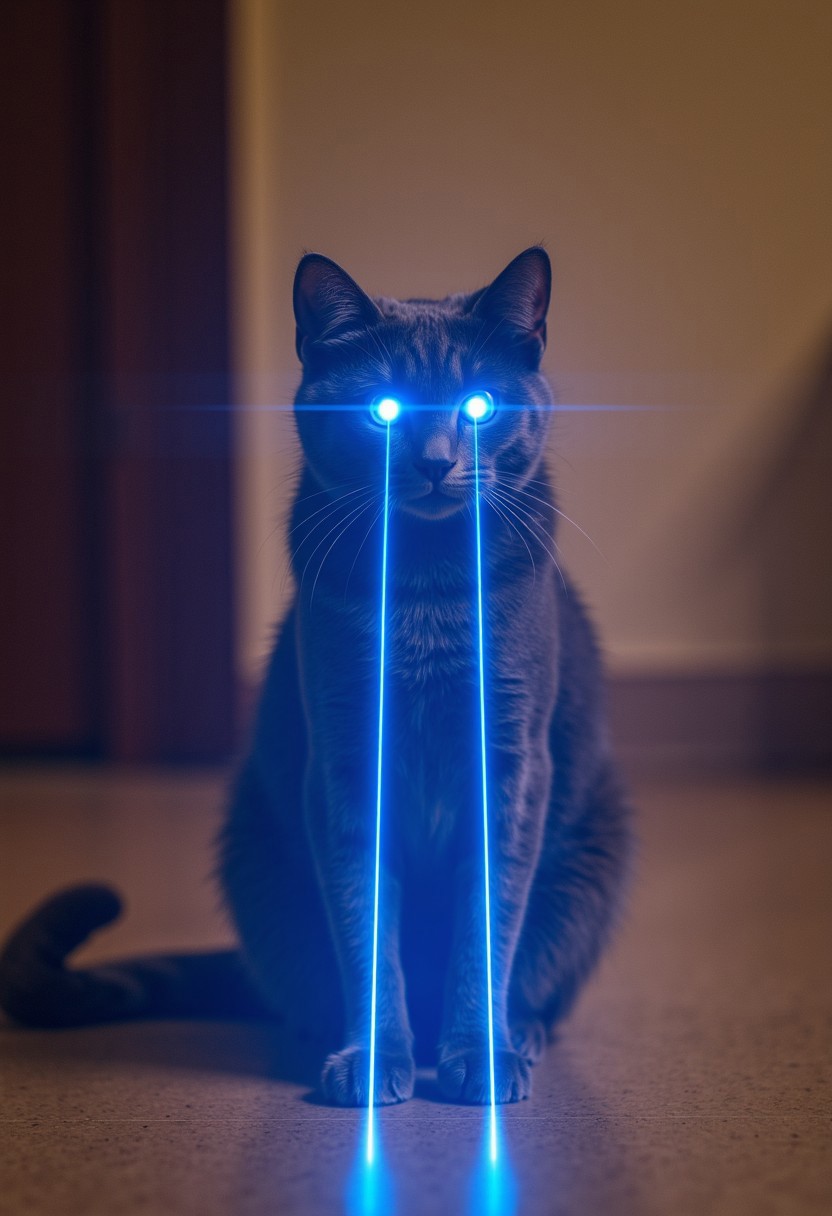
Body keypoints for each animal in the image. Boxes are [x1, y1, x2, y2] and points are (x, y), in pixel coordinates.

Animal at [0, 251, 632, 1108]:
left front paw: (479, 1055)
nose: (435, 460)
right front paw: (372, 1059)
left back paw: (520, 1033)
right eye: (383, 408)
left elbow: (485, 923)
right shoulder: (343, 758)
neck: (425, 594)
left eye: (479, 404)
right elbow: (365, 926)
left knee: (534, 972)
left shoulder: (511, 758)